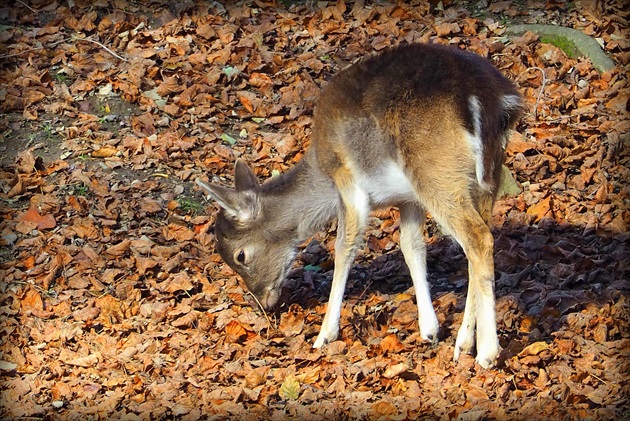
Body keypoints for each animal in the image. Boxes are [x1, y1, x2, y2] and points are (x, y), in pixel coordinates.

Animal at [198, 41, 524, 366]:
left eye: (240, 255)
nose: (263, 301)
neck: (321, 171)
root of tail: (488, 96)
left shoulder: (347, 179)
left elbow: (345, 246)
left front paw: (324, 336)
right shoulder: (408, 198)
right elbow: (411, 246)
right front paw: (429, 329)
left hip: (437, 170)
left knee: (478, 238)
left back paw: (487, 353)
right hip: (485, 175)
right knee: (477, 242)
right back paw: (463, 344)